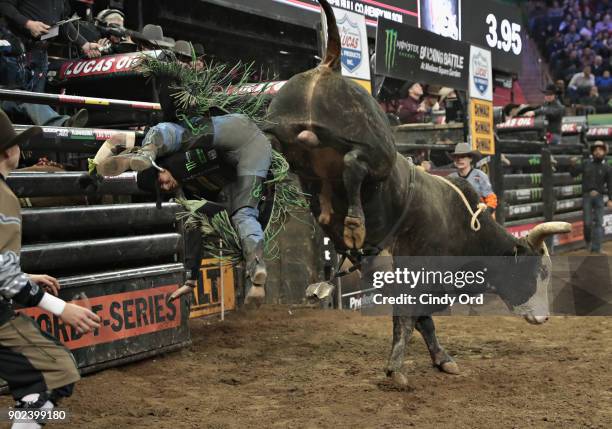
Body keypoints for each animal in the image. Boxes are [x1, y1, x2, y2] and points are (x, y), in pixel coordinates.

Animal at [264, 0, 572, 386]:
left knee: (268, 145)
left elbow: (424, 321)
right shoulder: (418, 274)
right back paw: (354, 224)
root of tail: (329, 63)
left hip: (283, 132)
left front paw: (442, 359)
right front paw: (396, 369)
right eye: (538, 272)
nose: (544, 317)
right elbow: (409, 319)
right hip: (375, 149)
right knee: (354, 163)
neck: (465, 226)